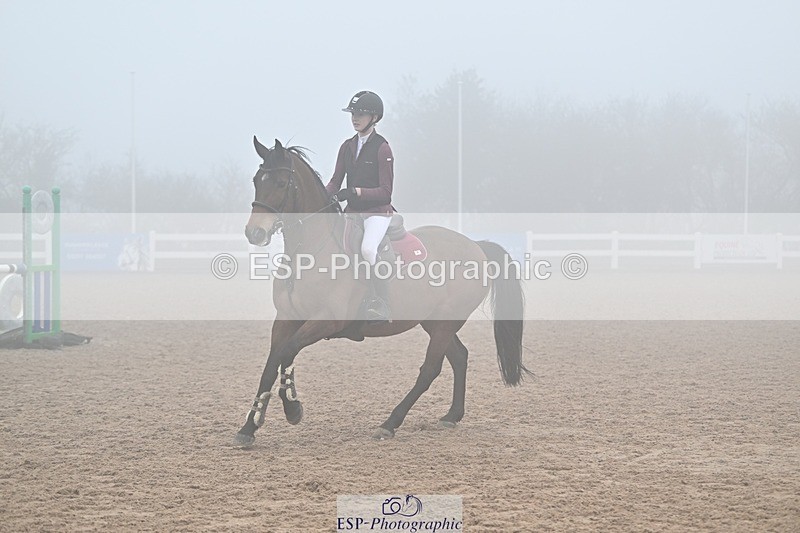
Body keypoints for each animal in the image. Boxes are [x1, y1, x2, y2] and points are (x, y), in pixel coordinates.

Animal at [234, 137, 530, 447]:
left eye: (281, 183)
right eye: (256, 180)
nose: (254, 233)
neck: (309, 254)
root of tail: (476, 246)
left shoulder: (326, 320)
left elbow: (287, 353)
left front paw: (292, 409)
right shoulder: (285, 319)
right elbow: (270, 365)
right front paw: (249, 428)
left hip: (444, 324)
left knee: (430, 370)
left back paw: (390, 423)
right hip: (435, 322)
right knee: (459, 357)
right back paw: (451, 416)